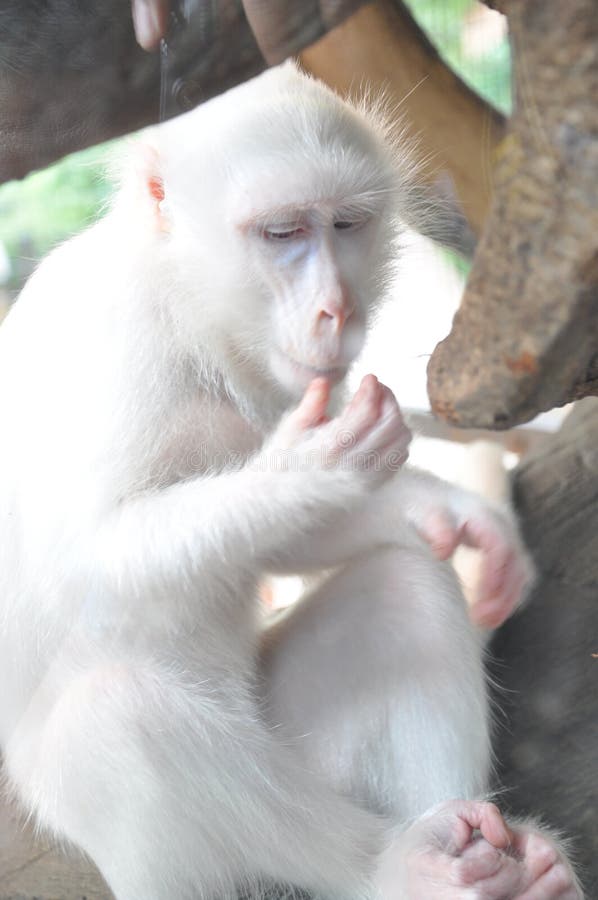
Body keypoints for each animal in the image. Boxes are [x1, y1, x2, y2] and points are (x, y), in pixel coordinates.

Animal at [0, 63, 584, 900]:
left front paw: (451, 512)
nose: (337, 308)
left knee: (406, 590)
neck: (191, 316)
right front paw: (305, 472)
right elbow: (82, 567)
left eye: (345, 224)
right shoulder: (111, 345)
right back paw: (393, 866)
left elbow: (290, 545)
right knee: (116, 716)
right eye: (283, 233)